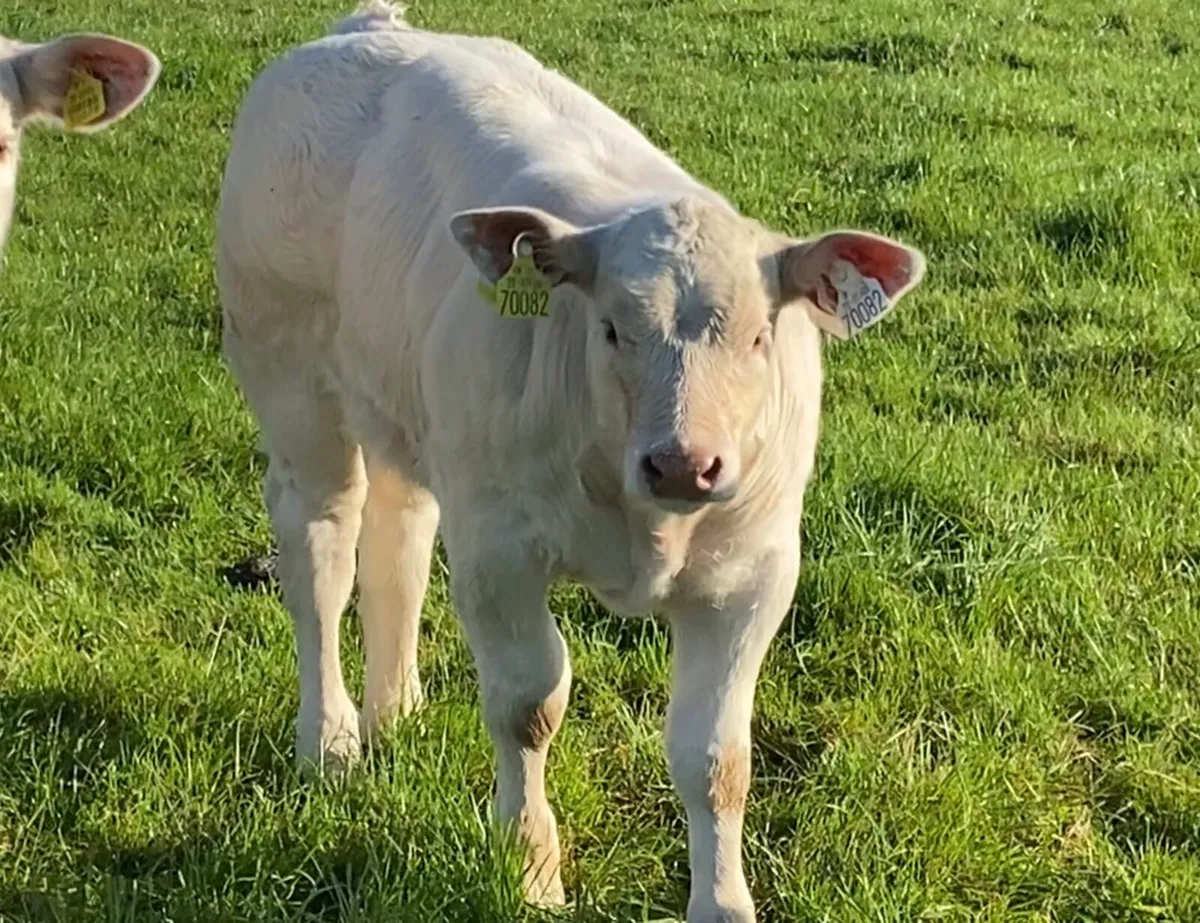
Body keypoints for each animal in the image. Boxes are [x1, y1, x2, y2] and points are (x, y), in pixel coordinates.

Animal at [216, 3, 926, 920]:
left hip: (406, 409)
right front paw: (529, 868)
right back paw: (331, 740)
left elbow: (716, 757)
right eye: (613, 328)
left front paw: (723, 900)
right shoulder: (498, 552)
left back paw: (395, 709)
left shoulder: (754, 574)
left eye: (759, 337)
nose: (683, 464)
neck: (641, 512)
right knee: (322, 557)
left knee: (396, 541)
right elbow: (528, 705)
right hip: (295, 385)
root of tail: (366, 28)